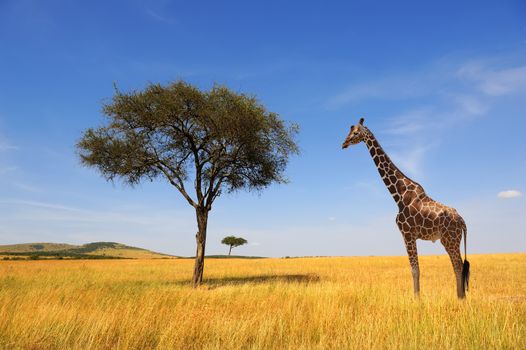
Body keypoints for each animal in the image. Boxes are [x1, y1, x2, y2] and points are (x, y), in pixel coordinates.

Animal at [344, 117, 472, 298]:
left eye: (355, 133)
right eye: (349, 131)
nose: (344, 143)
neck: (398, 195)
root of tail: (462, 222)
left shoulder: (407, 234)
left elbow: (415, 270)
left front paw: (416, 299)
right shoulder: (410, 235)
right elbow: (415, 269)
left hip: (450, 239)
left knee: (458, 266)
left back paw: (460, 298)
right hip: (451, 240)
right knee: (459, 266)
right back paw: (461, 298)